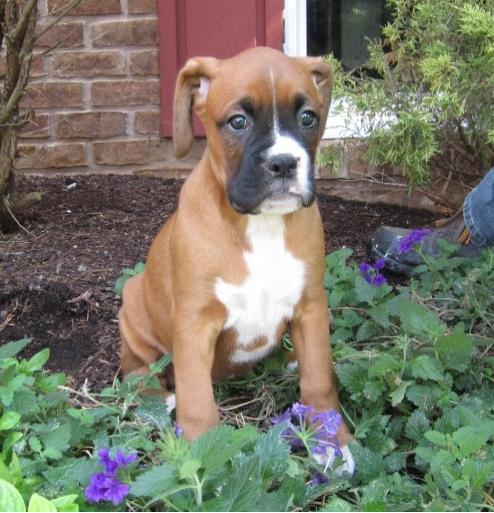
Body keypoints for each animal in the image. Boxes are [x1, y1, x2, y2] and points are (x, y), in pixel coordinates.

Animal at [122, 46, 356, 470]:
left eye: (308, 117)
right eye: (238, 122)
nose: (284, 162)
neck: (260, 225)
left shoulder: (311, 306)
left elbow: (320, 376)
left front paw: (331, 438)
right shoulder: (194, 323)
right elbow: (197, 397)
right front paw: (200, 453)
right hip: (132, 304)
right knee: (134, 369)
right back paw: (153, 397)